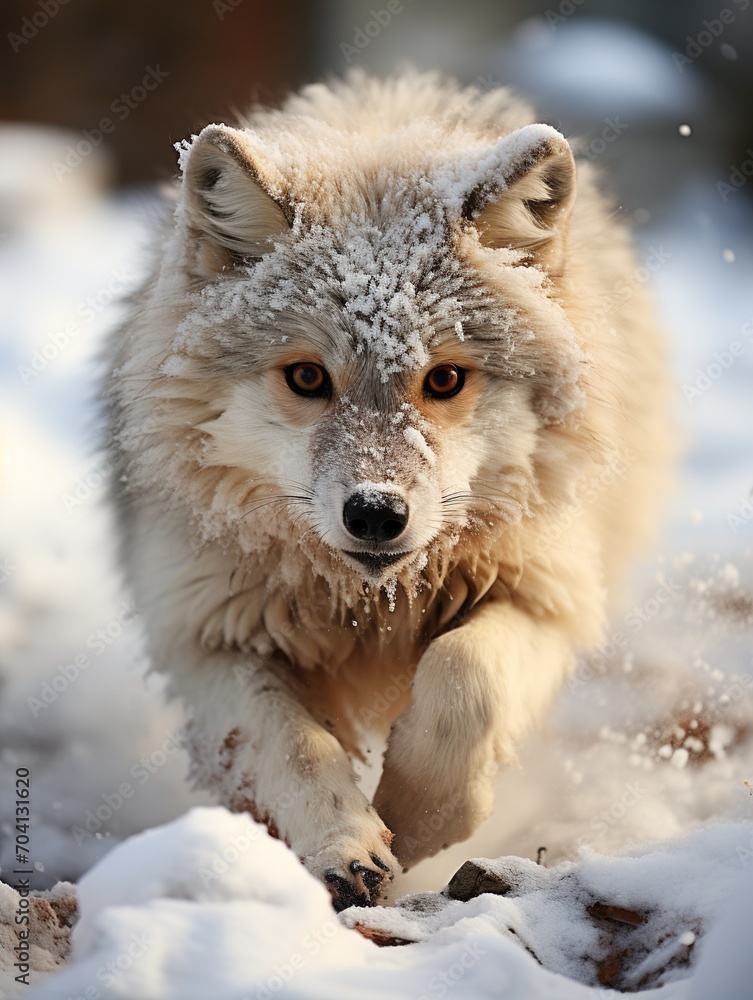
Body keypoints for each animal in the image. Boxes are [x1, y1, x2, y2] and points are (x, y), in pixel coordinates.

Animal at [104, 70, 671, 910]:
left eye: (444, 379)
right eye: (308, 377)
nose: (375, 513)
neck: (369, 608)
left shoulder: (541, 593)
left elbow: (463, 680)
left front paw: (415, 818)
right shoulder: (210, 634)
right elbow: (293, 745)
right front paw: (343, 847)